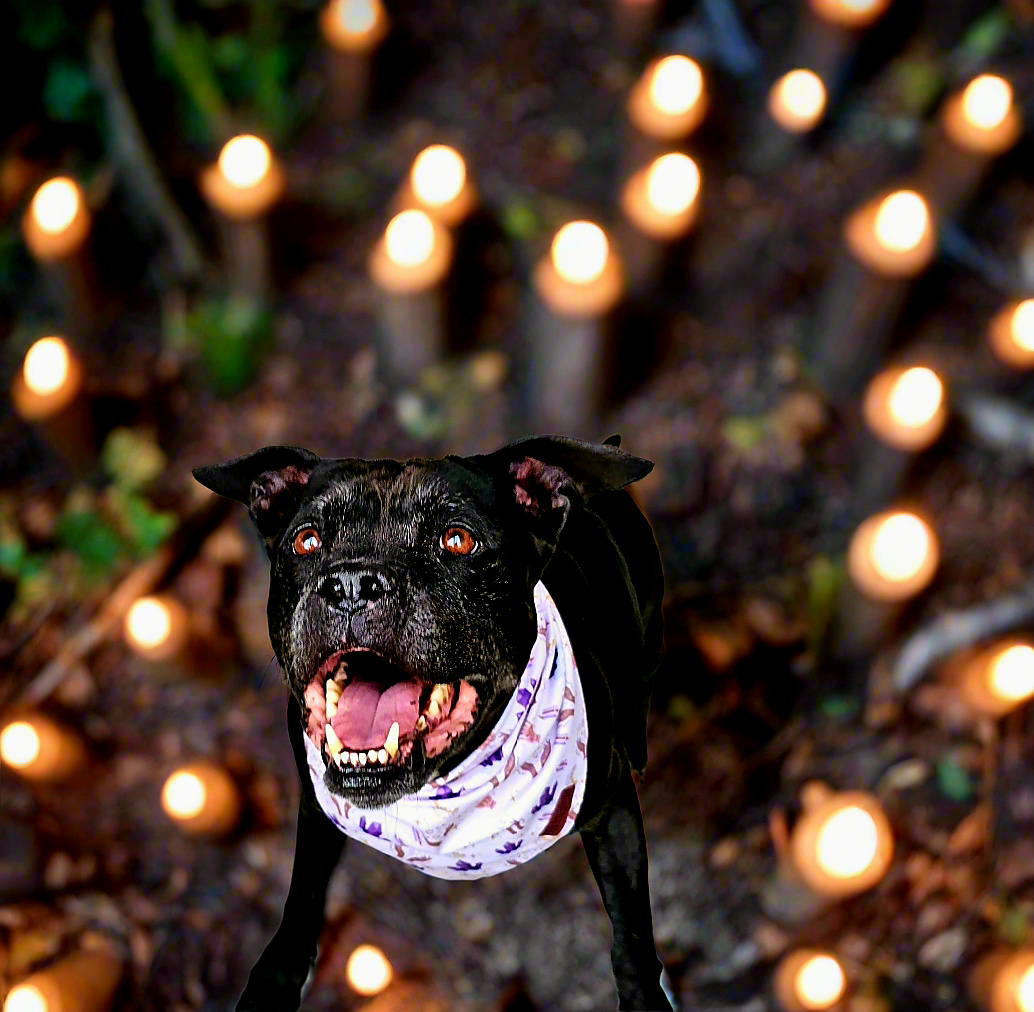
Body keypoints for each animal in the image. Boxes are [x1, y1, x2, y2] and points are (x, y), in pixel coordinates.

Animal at [194, 432, 674, 1008]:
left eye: (458, 541)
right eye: (307, 541)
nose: (351, 583)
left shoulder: (612, 808)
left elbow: (632, 932)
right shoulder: (317, 804)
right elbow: (304, 887)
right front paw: (277, 975)